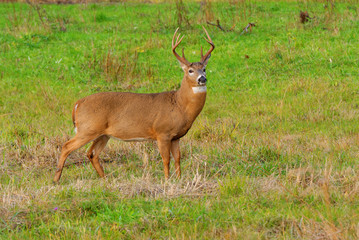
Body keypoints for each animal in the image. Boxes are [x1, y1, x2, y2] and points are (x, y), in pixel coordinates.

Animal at [53, 26, 215, 182]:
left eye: (204, 69)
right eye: (190, 70)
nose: (202, 78)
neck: (179, 104)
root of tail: (78, 104)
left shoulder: (176, 136)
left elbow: (178, 159)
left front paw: (179, 180)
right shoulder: (162, 132)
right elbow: (166, 159)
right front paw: (167, 180)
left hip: (103, 134)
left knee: (91, 153)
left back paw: (105, 179)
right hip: (88, 128)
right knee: (66, 146)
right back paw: (56, 179)